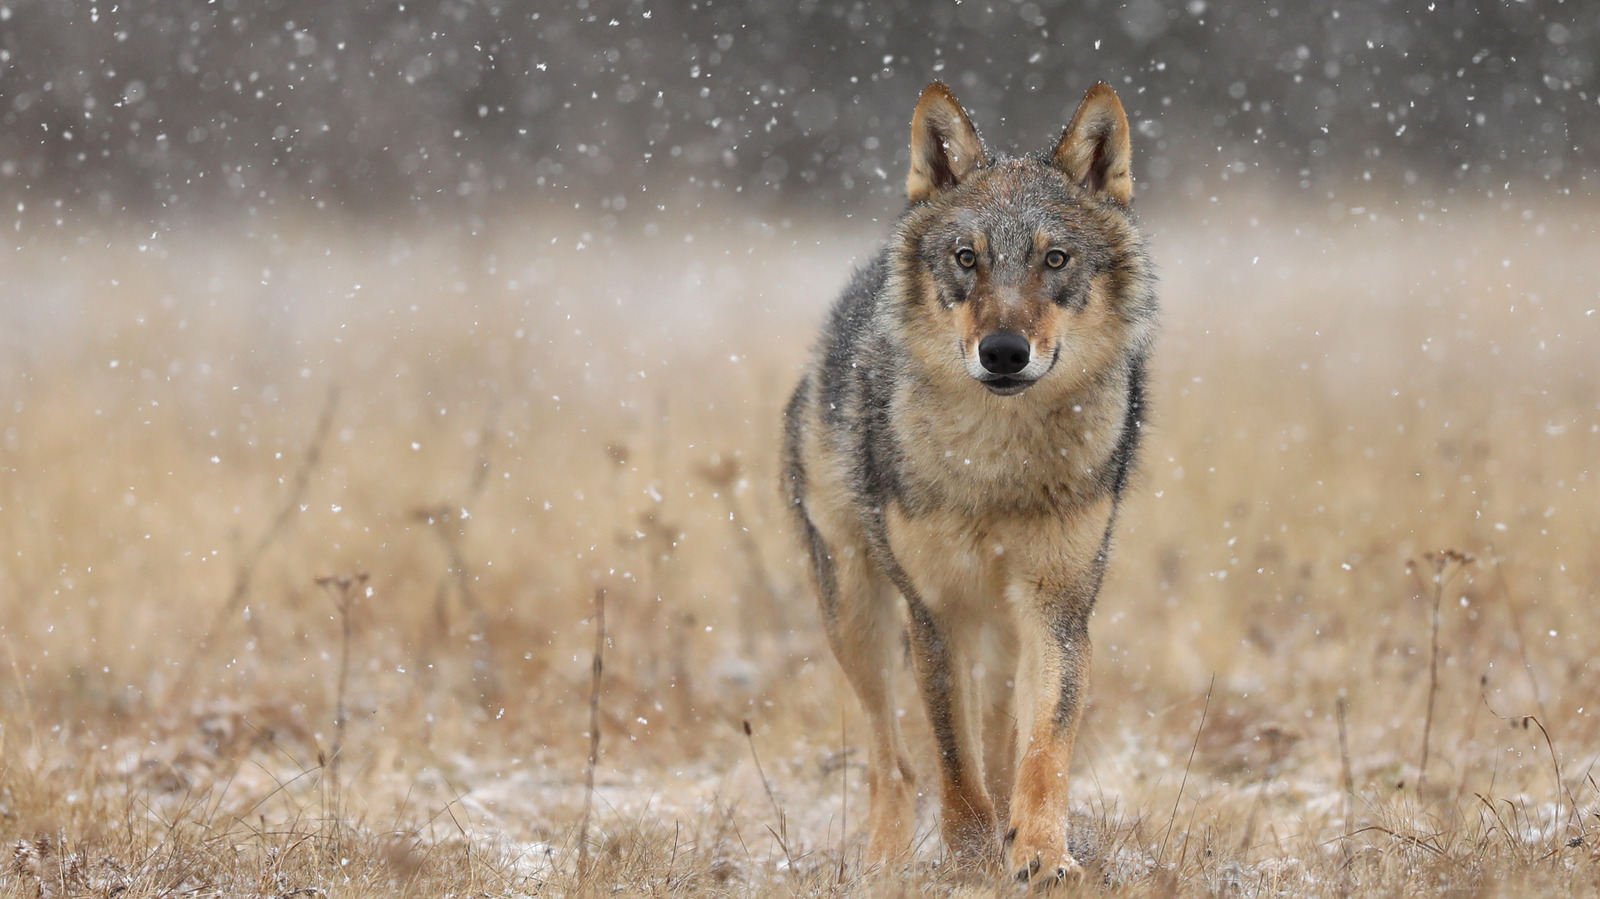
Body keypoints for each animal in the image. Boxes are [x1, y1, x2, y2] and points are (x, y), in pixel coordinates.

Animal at [781, 81, 1156, 886]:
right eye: (965, 258)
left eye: (1055, 259)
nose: (1005, 351)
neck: (998, 467)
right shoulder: (934, 610)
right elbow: (952, 760)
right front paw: (972, 852)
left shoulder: (1059, 606)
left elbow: (1044, 747)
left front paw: (1039, 851)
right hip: (854, 610)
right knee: (893, 763)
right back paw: (883, 866)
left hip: (1003, 624)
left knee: (1001, 737)